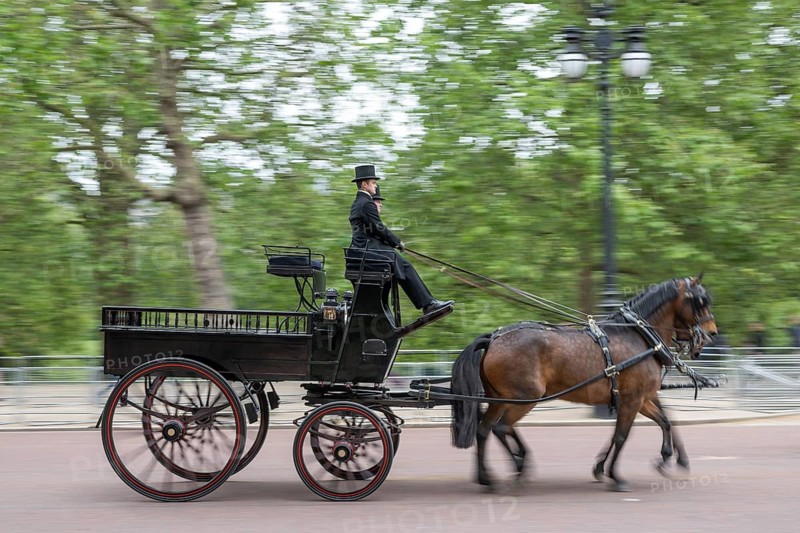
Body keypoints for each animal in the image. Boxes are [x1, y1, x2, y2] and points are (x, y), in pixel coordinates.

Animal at [450, 276, 718, 492]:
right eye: (699, 302)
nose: (712, 334)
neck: (637, 336)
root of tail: (494, 338)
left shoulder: (641, 398)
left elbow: (664, 421)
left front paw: (664, 458)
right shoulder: (632, 399)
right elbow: (622, 436)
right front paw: (615, 475)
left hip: (500, 399)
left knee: (484, 430)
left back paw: (488, 478)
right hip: (524, 398)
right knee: (501, 428)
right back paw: (518, 466)